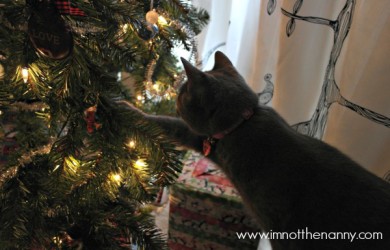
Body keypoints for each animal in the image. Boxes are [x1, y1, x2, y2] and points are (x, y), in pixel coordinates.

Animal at [119, 51, 390, 249]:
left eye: (182, 94)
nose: (174, 97)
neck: (244, 122)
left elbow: (165, 123)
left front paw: (123, 107)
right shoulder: (208, 141)